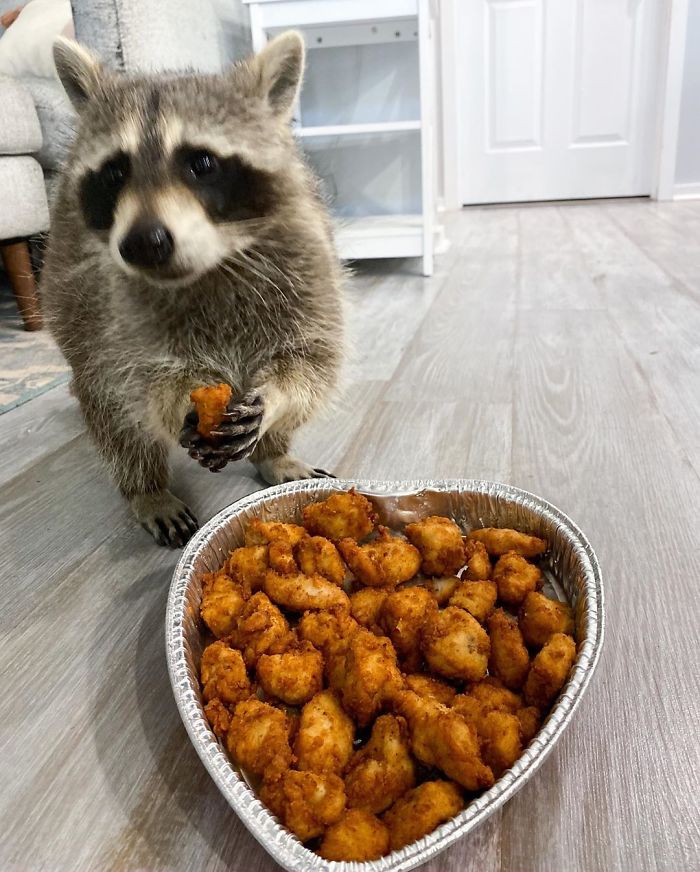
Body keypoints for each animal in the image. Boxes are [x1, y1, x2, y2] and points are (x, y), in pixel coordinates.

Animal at [42, 32, 344, 547]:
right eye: (115, 172)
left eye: (201, 163)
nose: (142, 242)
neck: (208, 265)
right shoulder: (112, 308)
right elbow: (140, 384)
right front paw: (179, 401)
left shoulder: (309, 265)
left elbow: (312, 362)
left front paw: (276, 401)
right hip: (71, 305)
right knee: (111, 409)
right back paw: (146, 487)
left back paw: (273, 452)